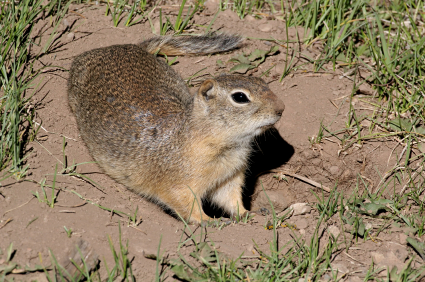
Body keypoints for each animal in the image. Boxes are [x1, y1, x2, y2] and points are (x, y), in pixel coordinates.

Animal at [68, 34, 284, 224]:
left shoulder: (229, 177)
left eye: (263, 82)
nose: (280, 109)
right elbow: (185, 203)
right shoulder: (179, 183)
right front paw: (208, 221)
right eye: (240, 97)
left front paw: (248, 214)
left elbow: (230, 198)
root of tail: (125, 46)